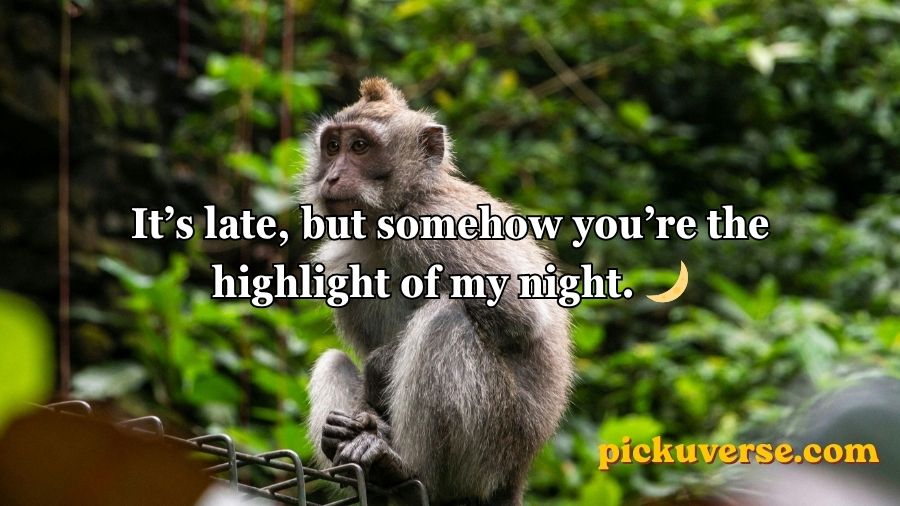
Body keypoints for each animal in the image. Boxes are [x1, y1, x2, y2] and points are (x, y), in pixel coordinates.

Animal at [301, 77, 573, 506]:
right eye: (332, 146)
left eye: (359, 146)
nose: (331, 177)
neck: (391, 217)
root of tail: (517, 474)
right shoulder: (340, 261)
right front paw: (350, 423)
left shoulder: (438, 225)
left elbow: (520, 315)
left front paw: (379, 369)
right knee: (333, 360)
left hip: (494, 445)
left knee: (444, 319)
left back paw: (402, 467)